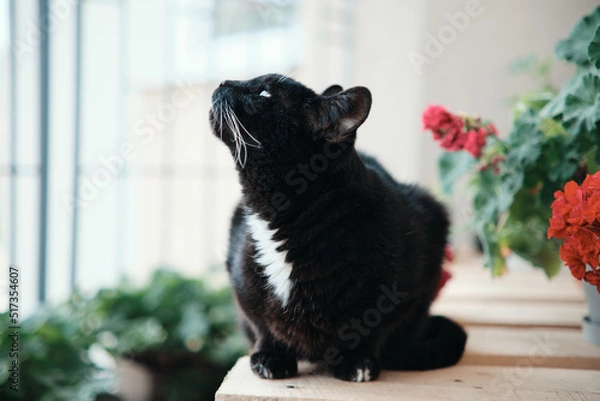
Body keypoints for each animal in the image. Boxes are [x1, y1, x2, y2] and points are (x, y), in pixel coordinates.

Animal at [209, 72, 466, 382]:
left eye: (264, 93)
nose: (222, 82)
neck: (282, 218)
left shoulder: (410, 285)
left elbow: (375, 329)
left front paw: (357, 361)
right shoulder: (243, 283)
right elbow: (262, 325)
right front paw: (270, 357)